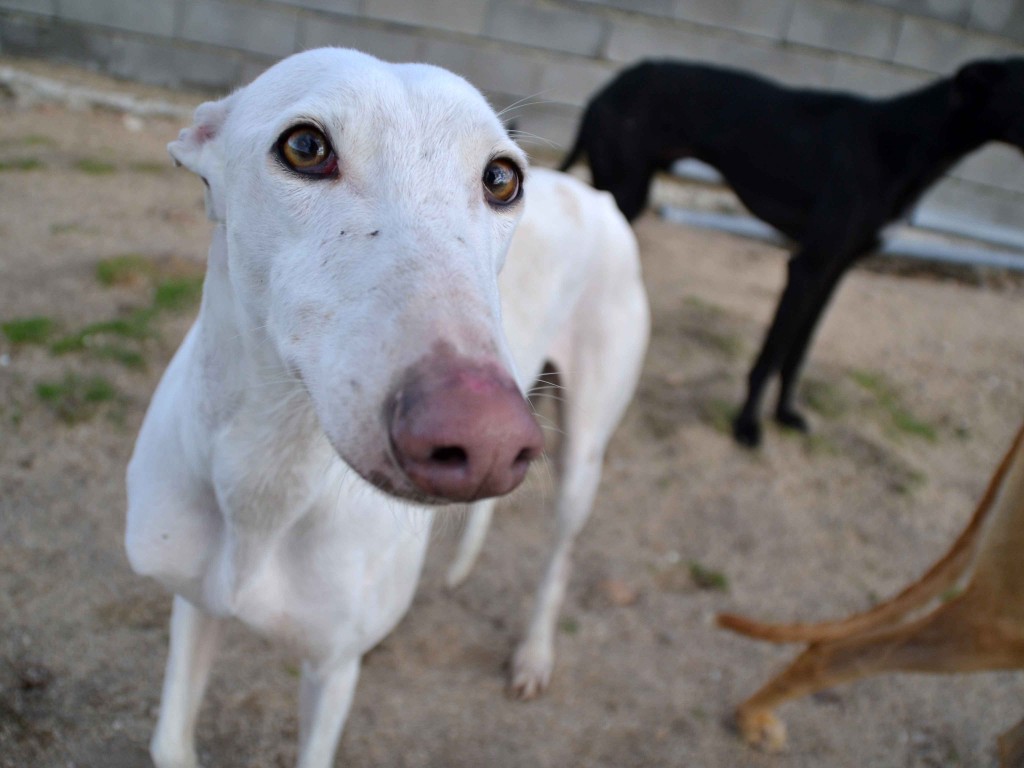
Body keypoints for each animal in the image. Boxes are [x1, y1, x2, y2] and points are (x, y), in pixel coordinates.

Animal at [123, 48, 643, 768]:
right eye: (305, 146)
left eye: (501, 178)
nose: (483, 436)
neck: (265, 481)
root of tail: (593, 193)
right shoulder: (195, 601)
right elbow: (169, 740)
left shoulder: (331, 669)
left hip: (581, 448)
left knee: (560, 555)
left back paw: (534, 654)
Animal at [561, 60, 1024, 448]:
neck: (901, 141)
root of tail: (607, 88)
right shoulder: (806, 265)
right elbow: (772, 353)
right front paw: (747, 425)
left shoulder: (835, 270)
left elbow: (798, 351)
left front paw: (785, 414)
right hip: (624, 193)